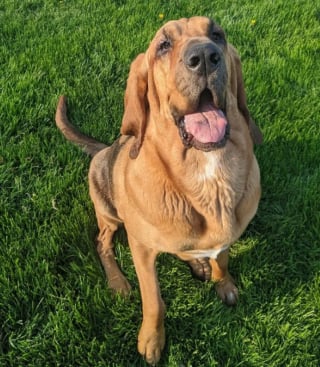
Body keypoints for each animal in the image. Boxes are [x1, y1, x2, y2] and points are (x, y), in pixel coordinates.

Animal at [55, 16, 262, 366]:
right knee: (102, 243)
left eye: (217, 35)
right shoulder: (141, 248)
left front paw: (224, 284)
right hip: (109, 212)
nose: (205, 57)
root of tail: (106, 148)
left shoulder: (226, 236)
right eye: (164, 45)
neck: (208, 173)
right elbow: (154, 300)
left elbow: (222, 260)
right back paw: (118, 282)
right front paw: (152, 340)